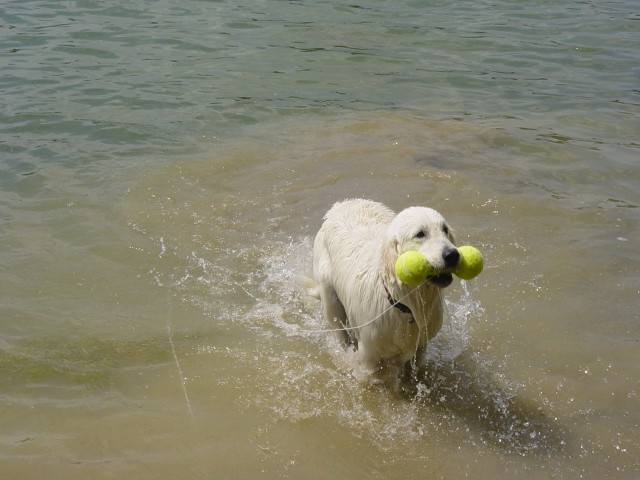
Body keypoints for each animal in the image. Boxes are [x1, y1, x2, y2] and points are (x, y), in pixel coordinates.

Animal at [312, 199, 458, 376]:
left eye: (445, 229)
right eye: (420, 234)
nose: (453, 255)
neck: (404, 303)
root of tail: (341, 204)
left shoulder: (421, 345)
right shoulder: (369, 355)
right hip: (329, 297)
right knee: (338, 330)